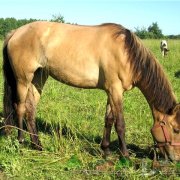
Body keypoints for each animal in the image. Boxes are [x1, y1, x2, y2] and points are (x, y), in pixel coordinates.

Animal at [1, 21, 180, 162]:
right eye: (176, 129)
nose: (175, 158)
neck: (126, 53)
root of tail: (15, 32)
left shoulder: (111, 91)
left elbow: (109, 119)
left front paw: (106, 150)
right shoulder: (115, 90)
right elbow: (120, 124)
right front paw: (125, 156)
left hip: (38, 78)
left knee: (30, 110)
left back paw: (37, 145)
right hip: (23, 79)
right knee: (20, 107)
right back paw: (21, 140)